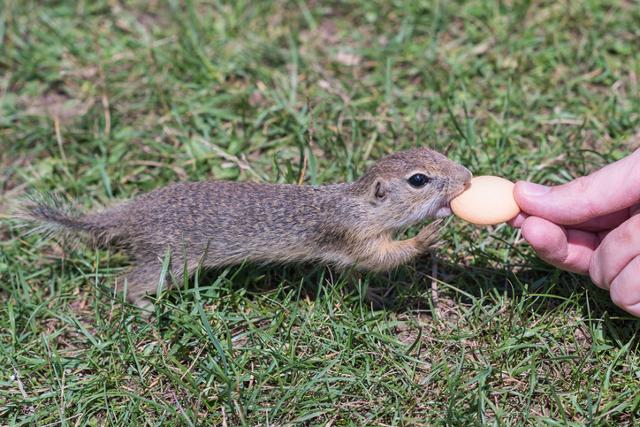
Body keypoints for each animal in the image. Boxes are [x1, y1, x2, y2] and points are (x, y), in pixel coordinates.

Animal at [20, 149, 470, 310]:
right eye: (418, 180)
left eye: (435, 151)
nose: (467, 177)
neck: (357, 202)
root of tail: (129, 215)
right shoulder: (353, 234)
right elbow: (380, 257)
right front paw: (426, 237)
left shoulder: (346, 250)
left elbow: (354, 276)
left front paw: (374, 294)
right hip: (168, 260)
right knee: (123, 285)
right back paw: (147, 308)